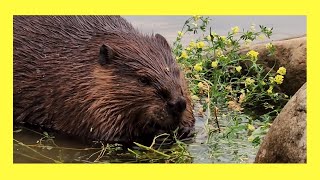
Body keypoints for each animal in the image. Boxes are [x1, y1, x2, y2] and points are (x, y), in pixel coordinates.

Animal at [13, 15, 195, 145]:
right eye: (143, 79)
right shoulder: (78, 98)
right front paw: (159, 133)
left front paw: (185, 129)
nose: (177, 103)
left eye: (176, 71)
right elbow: (106, 132)